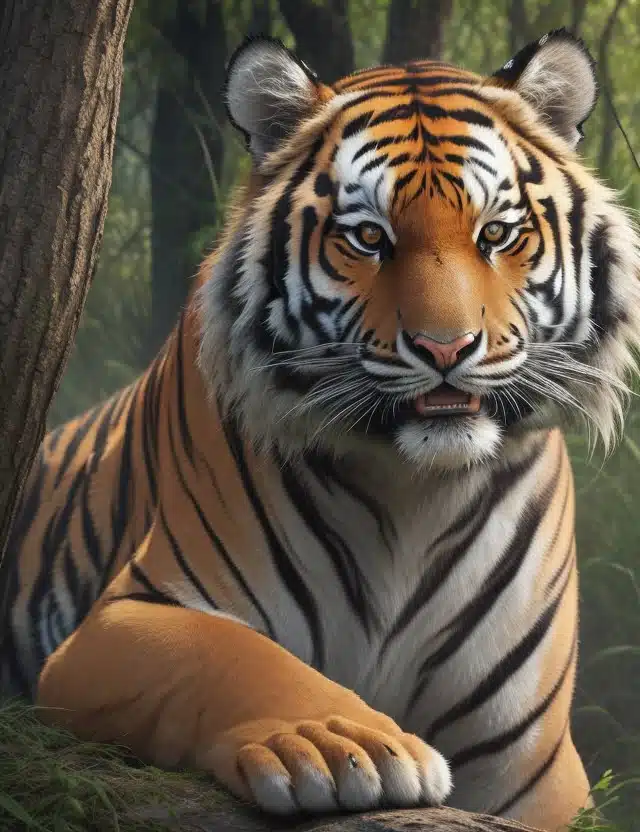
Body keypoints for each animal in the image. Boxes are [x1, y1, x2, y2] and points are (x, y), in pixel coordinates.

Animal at [2, 27, 639, 831]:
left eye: (496, 233)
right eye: (368, 237)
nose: (445, 349)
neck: (413, 496)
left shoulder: (538, 768)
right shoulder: (120, 620)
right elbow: (233, 657)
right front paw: (343, 745)